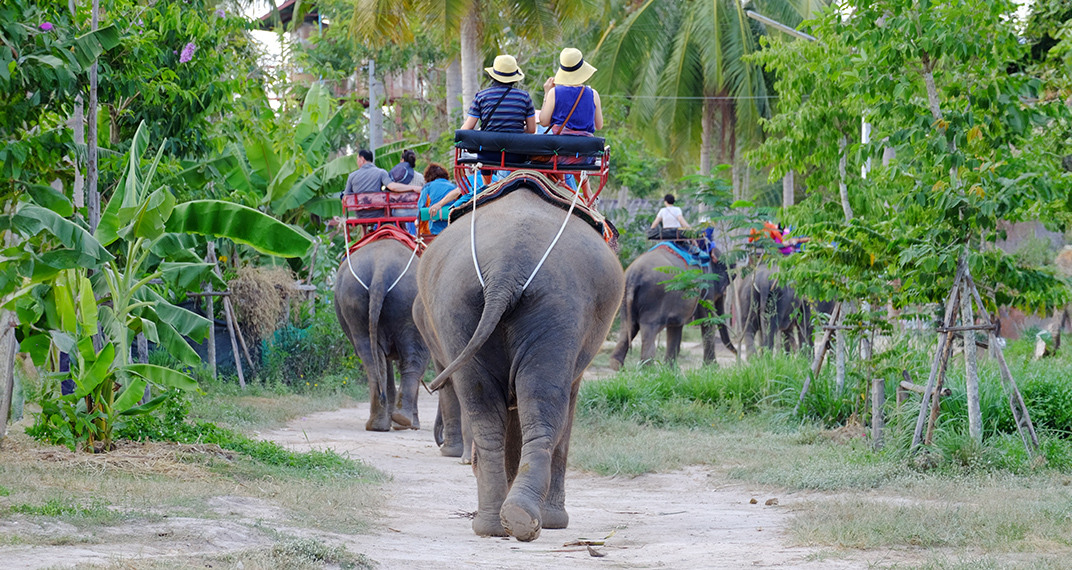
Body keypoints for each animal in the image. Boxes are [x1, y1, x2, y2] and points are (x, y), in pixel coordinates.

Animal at [332, 237, 428, 430]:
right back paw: (403, 421)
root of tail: (380, 270)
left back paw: (378, 424)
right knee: (414, 358)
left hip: (353, 300)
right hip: (410, 301)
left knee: (372, 358)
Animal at [411, 188, 626, 544]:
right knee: (544, 403)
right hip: (557, 305)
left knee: (483, 405)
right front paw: (552, 521)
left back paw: (497, 523)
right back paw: (528, 520)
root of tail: (504, 269)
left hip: (457, 304)